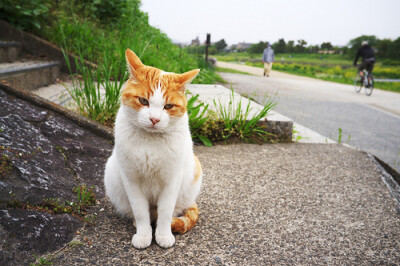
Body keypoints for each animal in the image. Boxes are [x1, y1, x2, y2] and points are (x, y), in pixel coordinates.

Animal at [104, 48, 203, 249]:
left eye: (168, 106)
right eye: (143, 101)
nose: (155, 119)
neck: (150, 143)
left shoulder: (171, 181)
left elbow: (165, 212)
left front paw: (163, 235)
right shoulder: (131, 180)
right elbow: (141, 211)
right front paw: (144, 235)